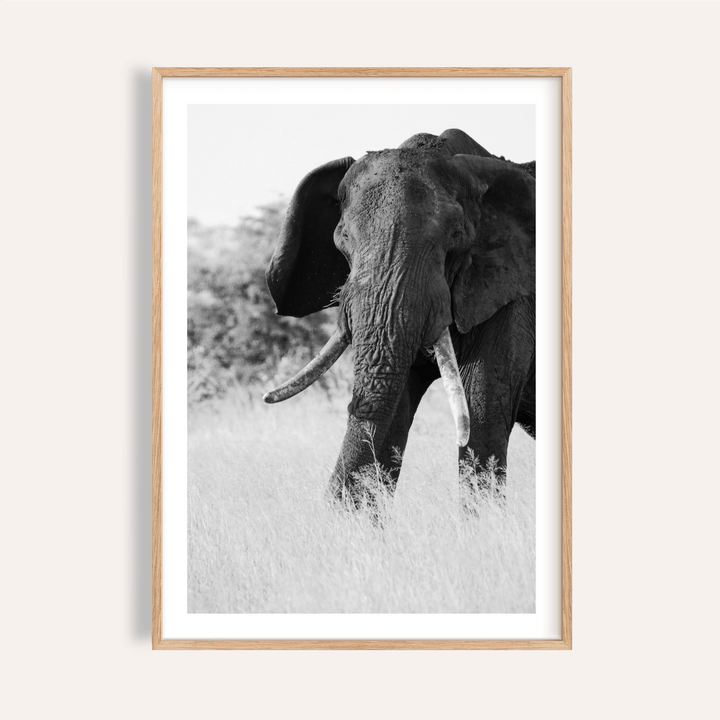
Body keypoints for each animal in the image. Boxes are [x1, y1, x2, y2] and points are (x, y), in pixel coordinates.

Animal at [263, 128, 535, 505]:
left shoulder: (510, 292)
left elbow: (484, 409)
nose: (265, 398)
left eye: (455, 236)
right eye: (342, 238)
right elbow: (394, 410)